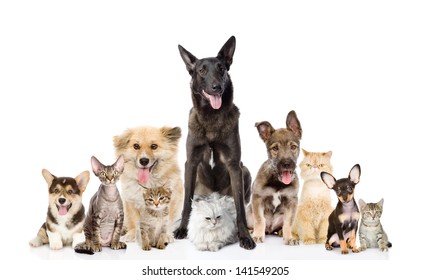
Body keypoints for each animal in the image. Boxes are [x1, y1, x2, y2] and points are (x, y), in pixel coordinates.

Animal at [174, 35, 256, 249]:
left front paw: (245, 236)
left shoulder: (234, 165)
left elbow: (240, 210)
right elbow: (186, 203)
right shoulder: (190, 162)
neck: (211, 118)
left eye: (221, 68)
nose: (216, 87)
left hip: (245, 171)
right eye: (202, 70)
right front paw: (182, 229)